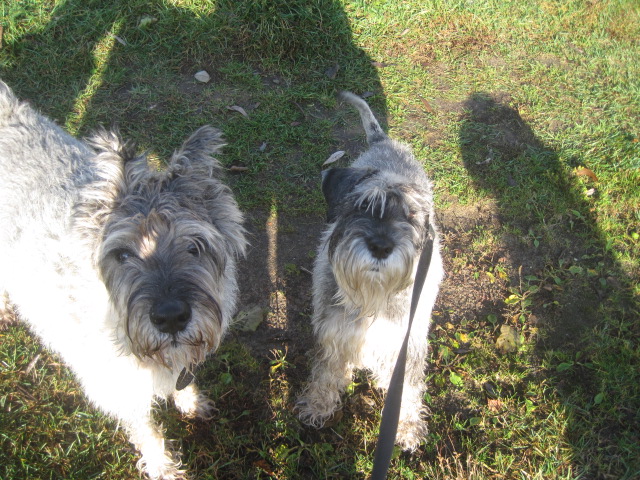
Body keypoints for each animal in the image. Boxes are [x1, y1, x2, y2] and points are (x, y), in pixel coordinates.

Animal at [0, 80, 246, 479]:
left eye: (194, 247)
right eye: (123, 254)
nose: (171, 318)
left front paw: (189, 400)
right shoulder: (118, 388)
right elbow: (145, 430)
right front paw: (163, 466)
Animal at [296, 91, 444, 450]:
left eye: (410, 215)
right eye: (364, 204)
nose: (380, 246)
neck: (371, 297)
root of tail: (384, 141)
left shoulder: (405, 343)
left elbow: (408, 388)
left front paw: (406, 427)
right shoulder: (334, 330)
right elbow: (327, 370)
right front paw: (318, 406)